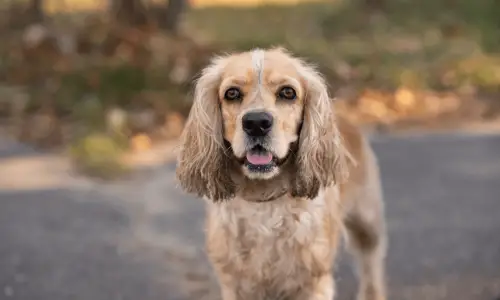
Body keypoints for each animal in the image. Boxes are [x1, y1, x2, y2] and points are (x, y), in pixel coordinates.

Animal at [178, 47, 388, 300]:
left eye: (288, 92)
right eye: (232, 93)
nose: (256, 123)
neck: (264, 201)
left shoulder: (314, 281)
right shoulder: (235, 284)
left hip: (368, 222)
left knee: (371, 264)